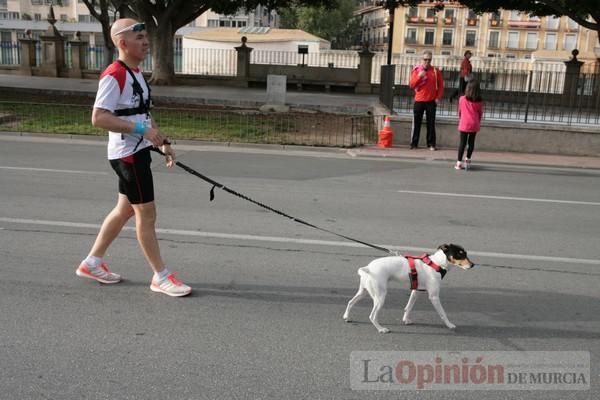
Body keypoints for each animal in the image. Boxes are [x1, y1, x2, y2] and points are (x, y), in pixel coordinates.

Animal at [342, 245, 474, 332]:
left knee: (350, 302)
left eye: (465, 253)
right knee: (372, 316)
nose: (473, 265)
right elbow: (442, 313)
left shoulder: (416, 291)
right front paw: (449, 325)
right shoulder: (434, 297)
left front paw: (405, 320)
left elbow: (409, 307)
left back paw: (347, 317)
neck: (436, 264)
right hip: (380, 297)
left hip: (364, 291)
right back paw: (381, 329)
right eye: (460, 254)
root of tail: (369, 268)